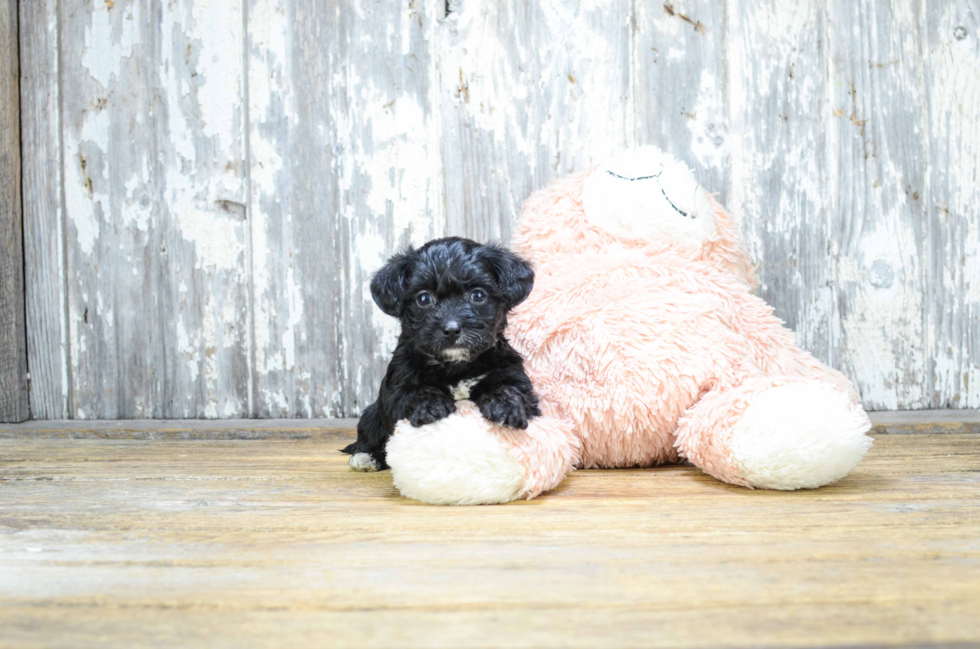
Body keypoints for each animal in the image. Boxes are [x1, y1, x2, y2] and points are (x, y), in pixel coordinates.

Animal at [340, 235, 540, 468]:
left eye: (478, 295)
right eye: (424, 299)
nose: (452, 329)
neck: (456, 365)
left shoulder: (510, 370)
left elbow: (511, 388)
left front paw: (506, 407)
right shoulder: (398, 384)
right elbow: (414, 392)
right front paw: (431, 406)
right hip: (372, 414)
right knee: (370, 433)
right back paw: (366, 457)